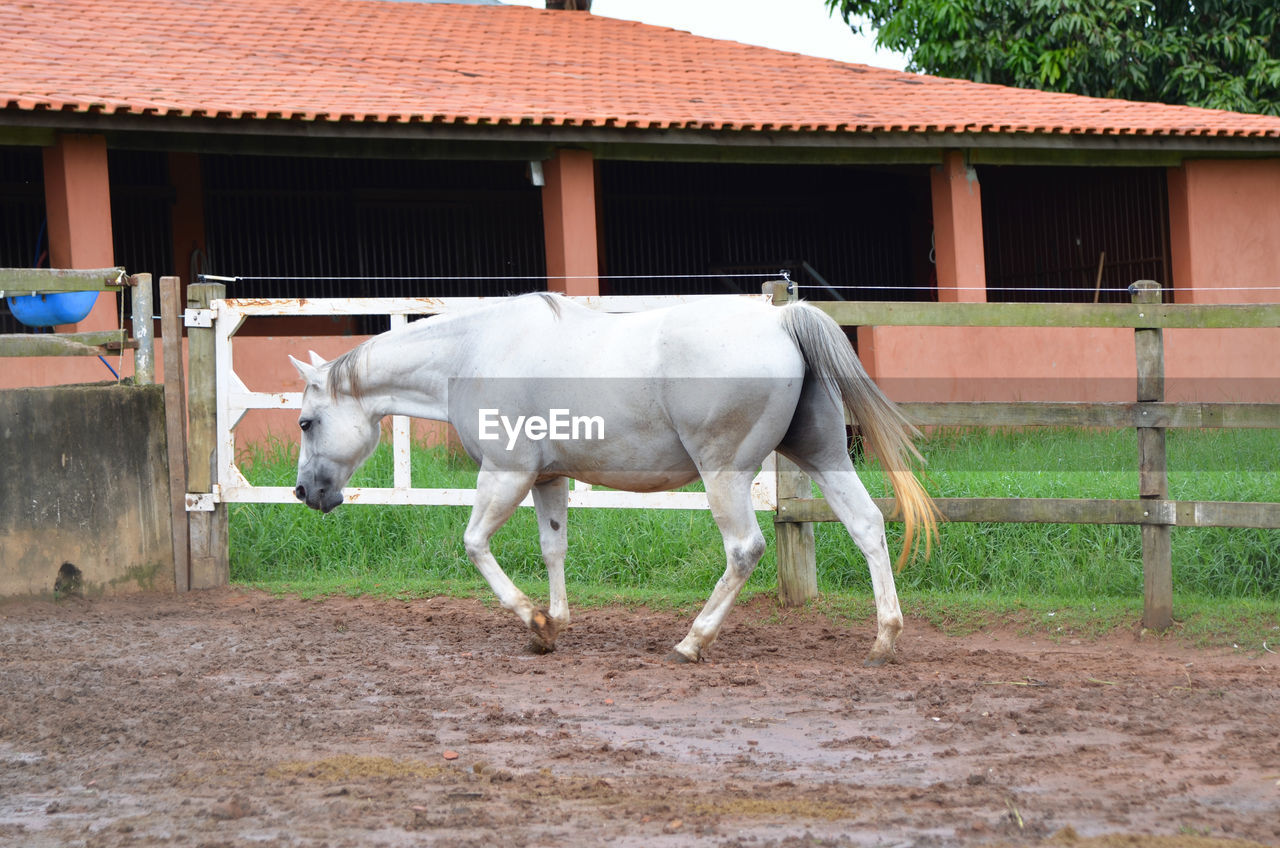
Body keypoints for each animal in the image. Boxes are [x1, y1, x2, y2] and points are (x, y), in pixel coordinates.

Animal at [290, 295, 936, 666]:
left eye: (305, 421)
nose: (304, 492)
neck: (473, 351)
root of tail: (781, 317)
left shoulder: (505, 474)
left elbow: (474, 544)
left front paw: (532, 621)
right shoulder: (548, 478)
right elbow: (553, 548)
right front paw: (554, 625)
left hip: (724, 475)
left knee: (744, 549)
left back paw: (692, 641)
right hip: (823, 456)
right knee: (867, 525)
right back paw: (884, 638)